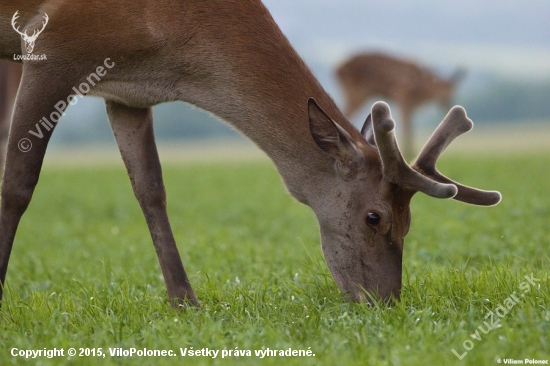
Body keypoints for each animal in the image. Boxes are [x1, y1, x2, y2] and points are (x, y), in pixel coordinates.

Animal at [336, 52, 466, 159]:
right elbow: (406, 125)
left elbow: (410, 125)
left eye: (453, 90)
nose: (448, 103)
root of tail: (337, 68)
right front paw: (408, 152)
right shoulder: (403, 97)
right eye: (440, 88)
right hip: (356, 93)